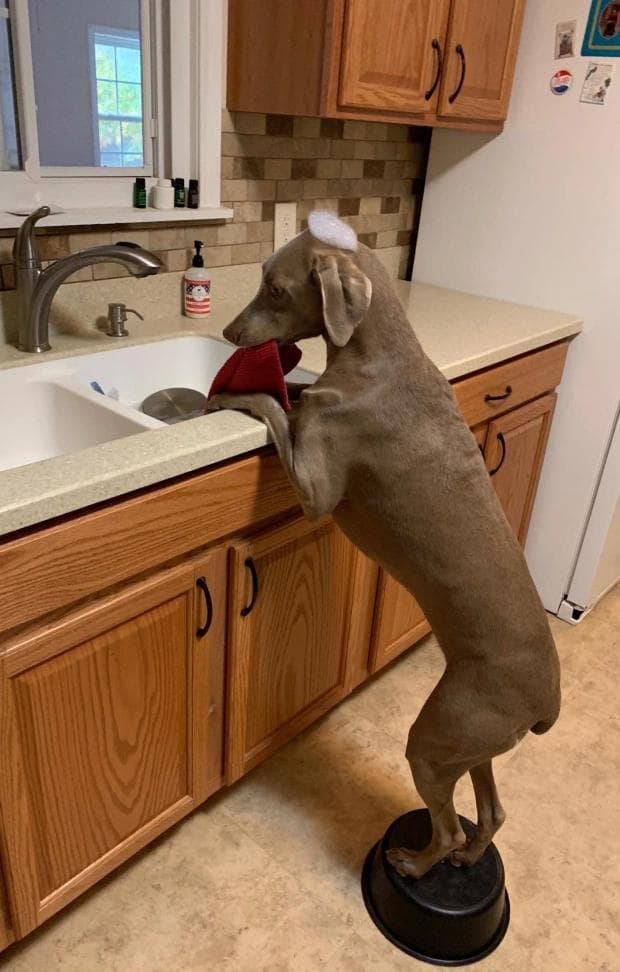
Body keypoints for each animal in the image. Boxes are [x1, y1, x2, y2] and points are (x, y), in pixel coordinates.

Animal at [206, 215, 560, 880]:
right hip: (470, 745)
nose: (227, 334)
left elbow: (274, 405)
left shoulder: (316, 489)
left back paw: (412, 864)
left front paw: (227, 394)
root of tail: (547, 698)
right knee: (492, 812)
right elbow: (288, 398)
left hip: (436, 738)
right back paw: (465, 860)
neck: (380, 352)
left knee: (448, 824)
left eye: (275, 288)